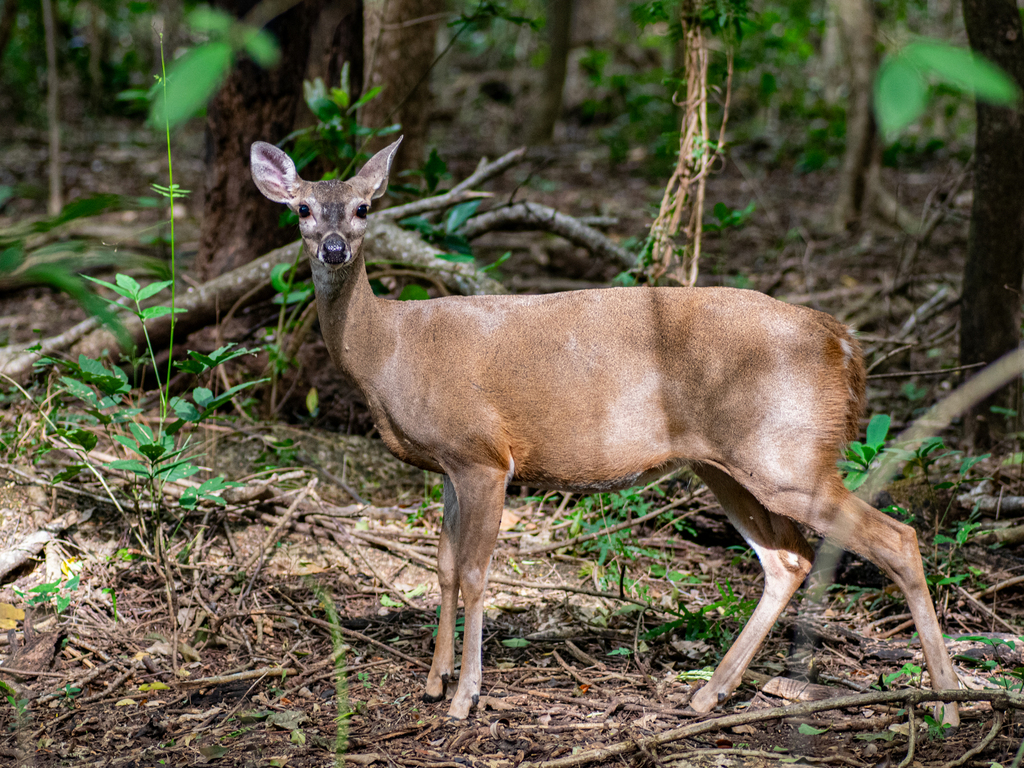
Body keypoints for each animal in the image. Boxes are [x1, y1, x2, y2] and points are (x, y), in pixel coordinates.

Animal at [250, 137, 960, 726]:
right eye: (304, 210)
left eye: (364, 207)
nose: (335, 248)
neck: (388, 351)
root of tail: (844, 343)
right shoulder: (449, 464)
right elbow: (445, 564)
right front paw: (434, 681)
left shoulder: (484, 454)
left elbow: (477, 571)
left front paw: (464, 698)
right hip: (729, 462)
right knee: (789, 559)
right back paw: (708, 694)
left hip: (787, 453)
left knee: (897, 539)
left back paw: (949, 703)